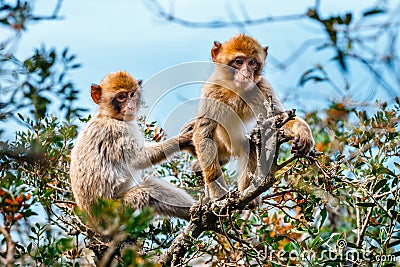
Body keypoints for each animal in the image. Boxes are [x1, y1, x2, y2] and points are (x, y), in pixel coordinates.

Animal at [70, 70, 195, 222]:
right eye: (121, 97)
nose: (130, 106)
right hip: (119, 210)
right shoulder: (116, 131)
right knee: (151, 190)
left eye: (132, 94)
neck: (108, 116)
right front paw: (183, 139)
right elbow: (139, 159)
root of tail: (92, 219)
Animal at [192, 33, 314, 200]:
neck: (236, 91)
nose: (247, 73)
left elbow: (280, 117)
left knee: (250, 143)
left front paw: (302, 131)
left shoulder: (263, 87)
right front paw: (219, 193)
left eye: (252, 62)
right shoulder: (211, 90)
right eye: (238, 61)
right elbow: (204, 134)